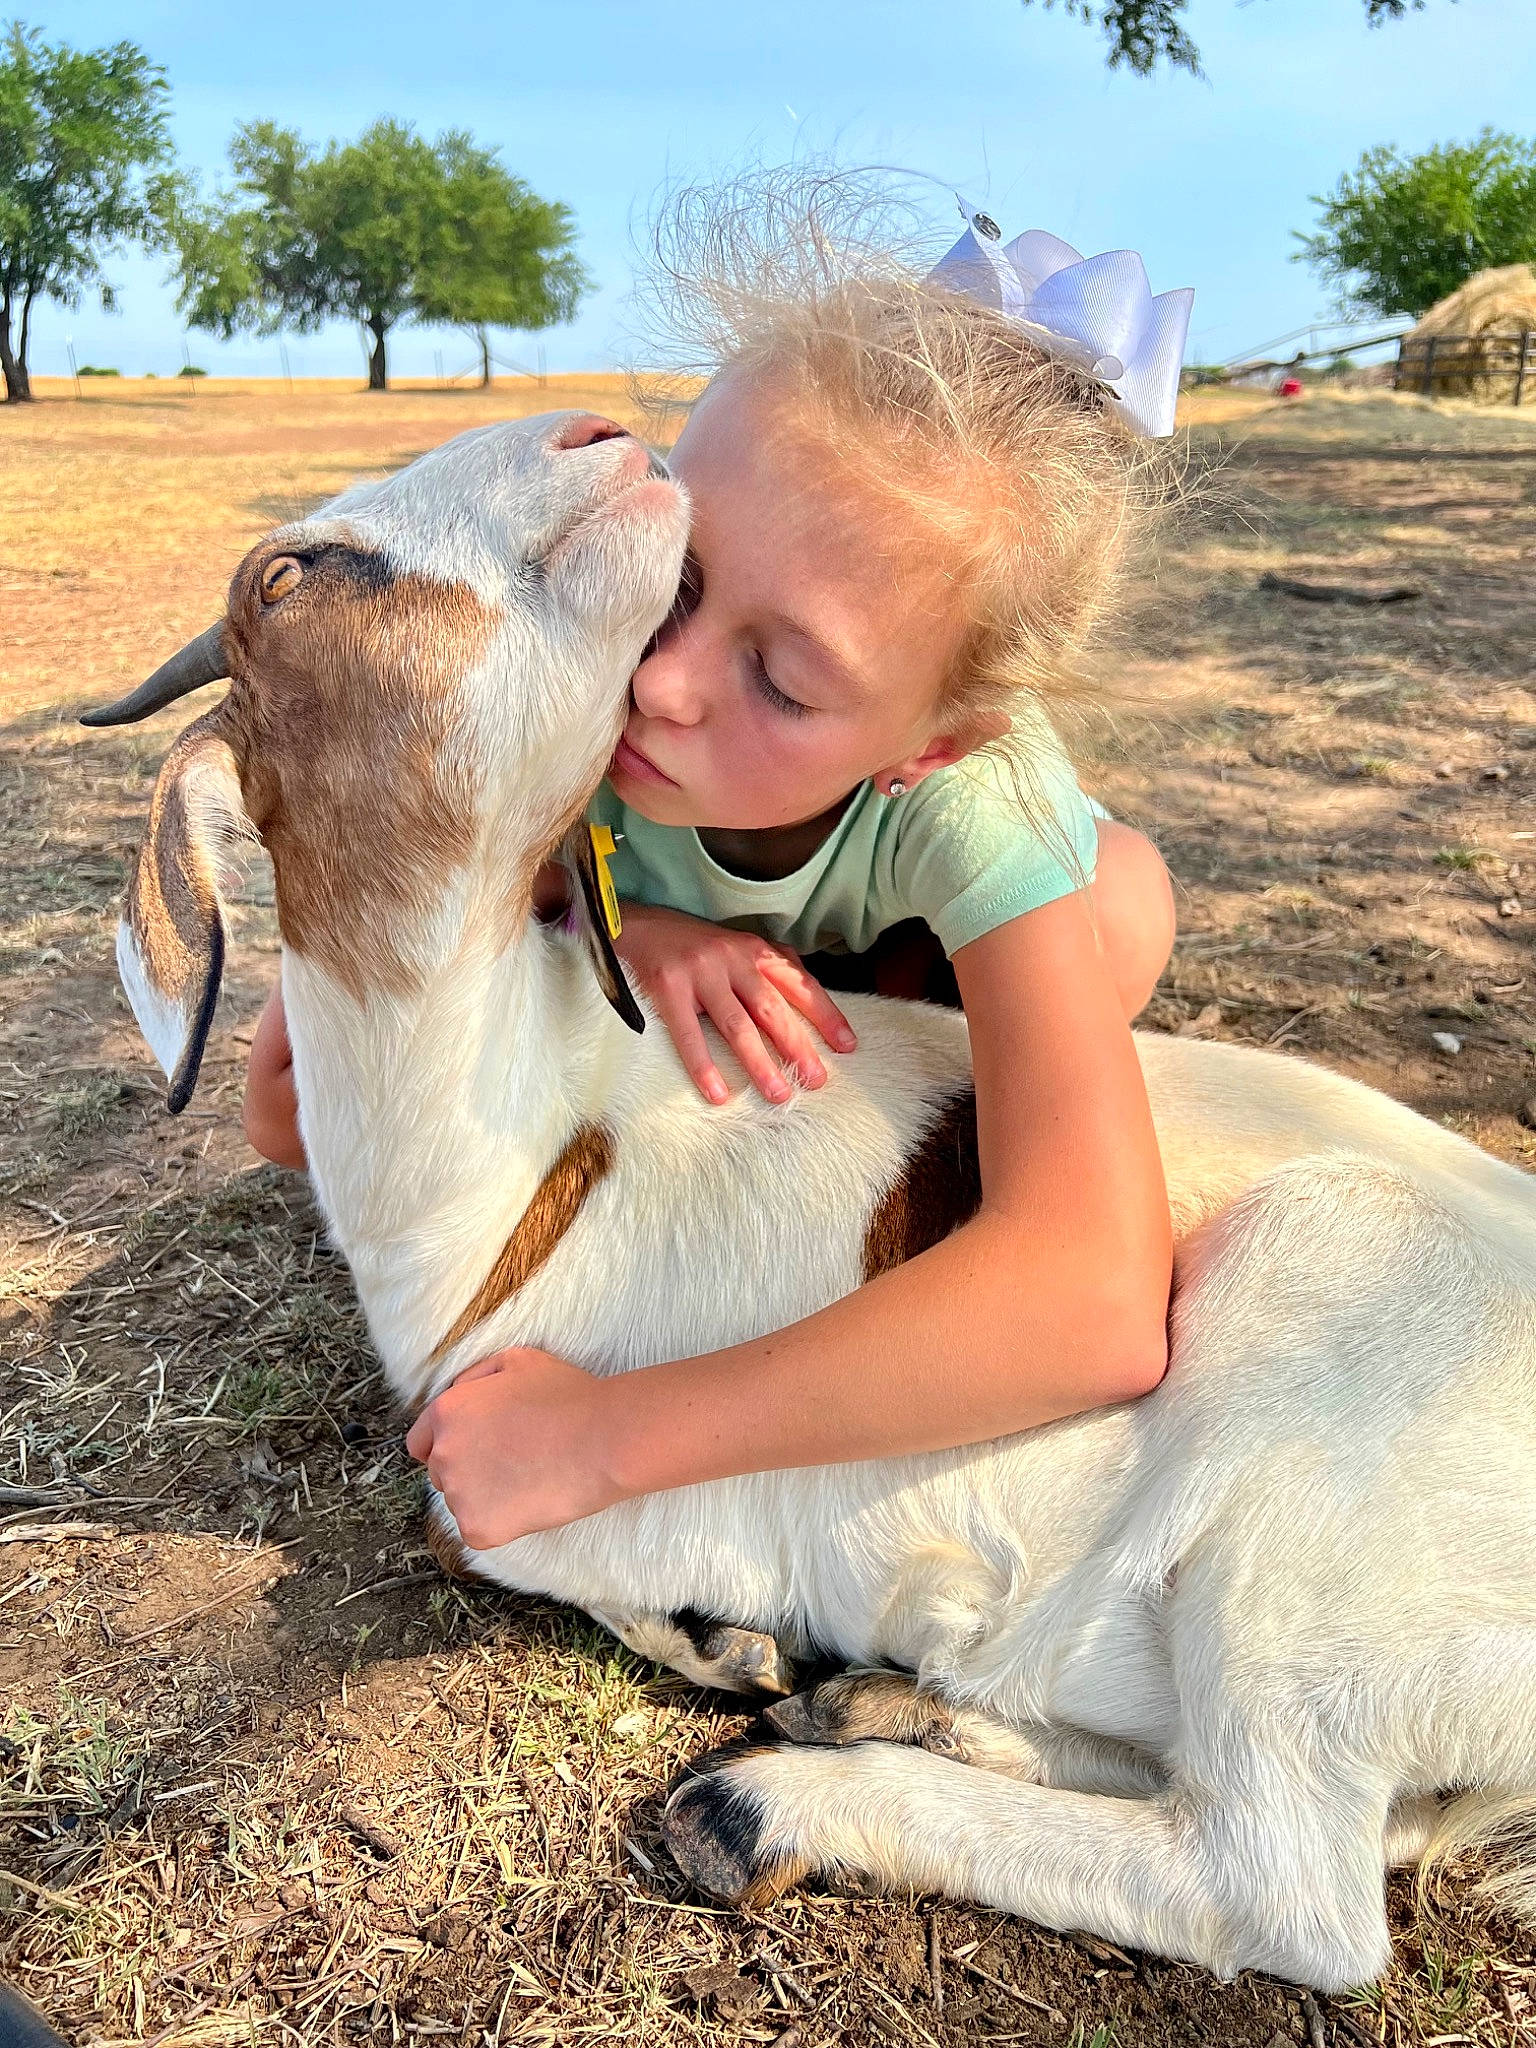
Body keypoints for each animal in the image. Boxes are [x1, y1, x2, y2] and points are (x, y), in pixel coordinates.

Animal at [87, 410, 1536, 1992]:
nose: (597, 432)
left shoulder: (626, 1474)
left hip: (1313, 1369)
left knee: (1281, 1886)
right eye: (285, 576)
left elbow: (458, 1518)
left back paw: (771, 1800)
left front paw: (729, 1647)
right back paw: (888, 1706)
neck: (530, 1157)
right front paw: (755, 1659)